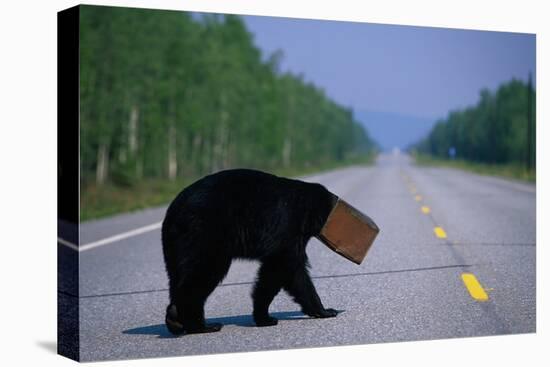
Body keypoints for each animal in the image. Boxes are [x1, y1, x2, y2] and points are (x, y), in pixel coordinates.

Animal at [162, 168, 338, 334]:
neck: (305, 207)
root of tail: (173, 210)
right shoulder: (288, 226)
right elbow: (283, 266)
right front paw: (266, 318)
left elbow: (289, 273)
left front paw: (322, 310)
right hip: (204, 233)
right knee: (204, 271)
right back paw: (201, 326)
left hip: (174, 246)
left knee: (177, 276)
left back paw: (174, 319)